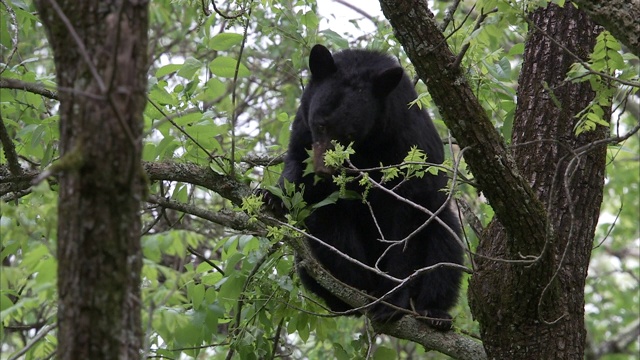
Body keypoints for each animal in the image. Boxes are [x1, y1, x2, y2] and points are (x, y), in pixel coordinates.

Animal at [266, 43, 464, 330]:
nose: (324, 170)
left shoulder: (405, 142)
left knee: (445, 243)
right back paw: (353, 285)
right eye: (321, 124)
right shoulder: (302, 126)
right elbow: (297, 164)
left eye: (350, 134)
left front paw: (392, 301)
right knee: (325, 221)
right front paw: (271, 196)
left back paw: (434, 313)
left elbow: (407, 223)